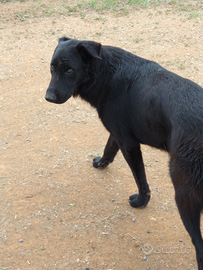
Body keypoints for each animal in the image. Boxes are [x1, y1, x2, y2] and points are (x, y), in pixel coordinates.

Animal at [46, 37, 203, 268]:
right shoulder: (117, 132)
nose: (48, 97)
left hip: (184, 192)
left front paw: (141, 202)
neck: (105, 73)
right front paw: (101, 163)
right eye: (52, 68)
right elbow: (109, 148)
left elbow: (141, 179)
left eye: (69, 70)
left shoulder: (129, 144)